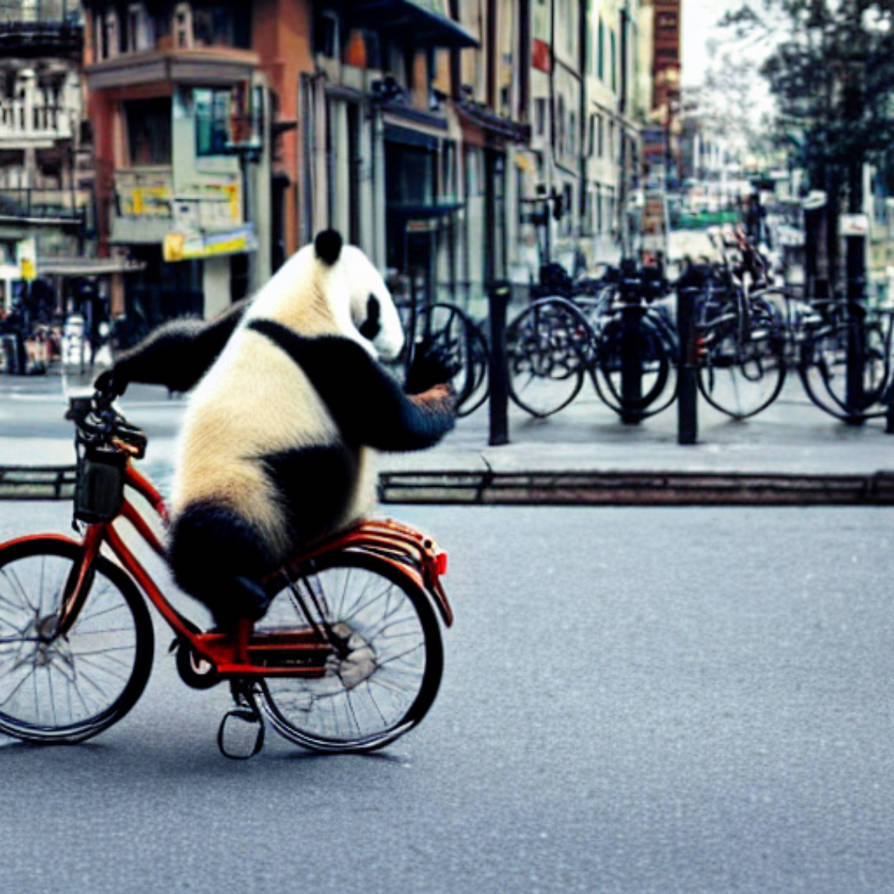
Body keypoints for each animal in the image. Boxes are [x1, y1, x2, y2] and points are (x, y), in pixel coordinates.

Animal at [99, 230, 456, 629]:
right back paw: (232, 590)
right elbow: (391, 423)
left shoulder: (249, 313)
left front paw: (116, 374)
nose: (399, 342)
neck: (306, 295)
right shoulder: (329, 352)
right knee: (208, 535)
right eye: (376, 305)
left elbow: (192, 353)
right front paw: (433, 369)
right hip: (251, 488)